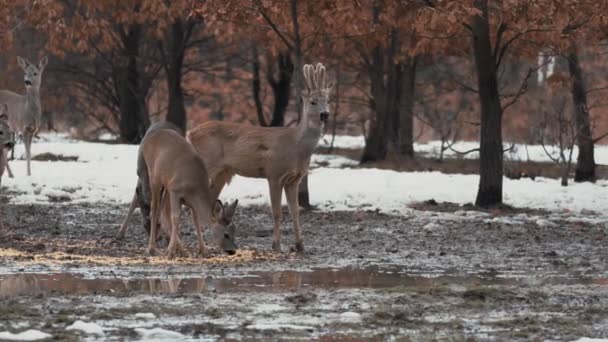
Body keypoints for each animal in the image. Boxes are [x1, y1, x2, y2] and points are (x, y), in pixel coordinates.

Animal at [141, 128, 239, 260]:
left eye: (235, 231)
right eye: (226, 234)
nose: (232, 250)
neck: (194, 188)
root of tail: (149, 135)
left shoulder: (188, 199)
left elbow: (196, 219)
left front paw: (203, 250)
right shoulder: (175, 190)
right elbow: (175, 217)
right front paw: (170, 252)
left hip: (166, 185)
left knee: (161, 212)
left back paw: (182, 250)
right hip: (154, 176)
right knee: (154, 209)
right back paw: (153, 249)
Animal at [189, 62, 334, 254]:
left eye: (328, 101)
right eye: (313, 101)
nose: (325, 114)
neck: (296, 146)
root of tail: (190, 134)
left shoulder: (294, 179)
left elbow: (295, 211)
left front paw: (300, 246)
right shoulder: (274, 173)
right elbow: (277, 212)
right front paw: (276, 245)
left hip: (223, 172)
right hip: (207, 164)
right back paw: (201, 247)